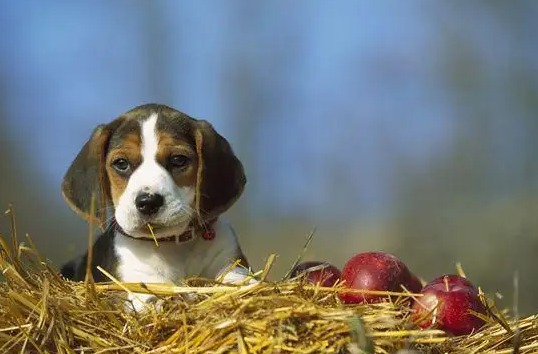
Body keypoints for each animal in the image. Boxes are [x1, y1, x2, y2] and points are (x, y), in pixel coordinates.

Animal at [59, 103, 252, 310]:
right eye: (121, 163)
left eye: (178, 160)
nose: (148, 202)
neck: (173, 245)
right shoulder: (137, 280)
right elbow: (154, 294)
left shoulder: (231, 260)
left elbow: (240, 280)